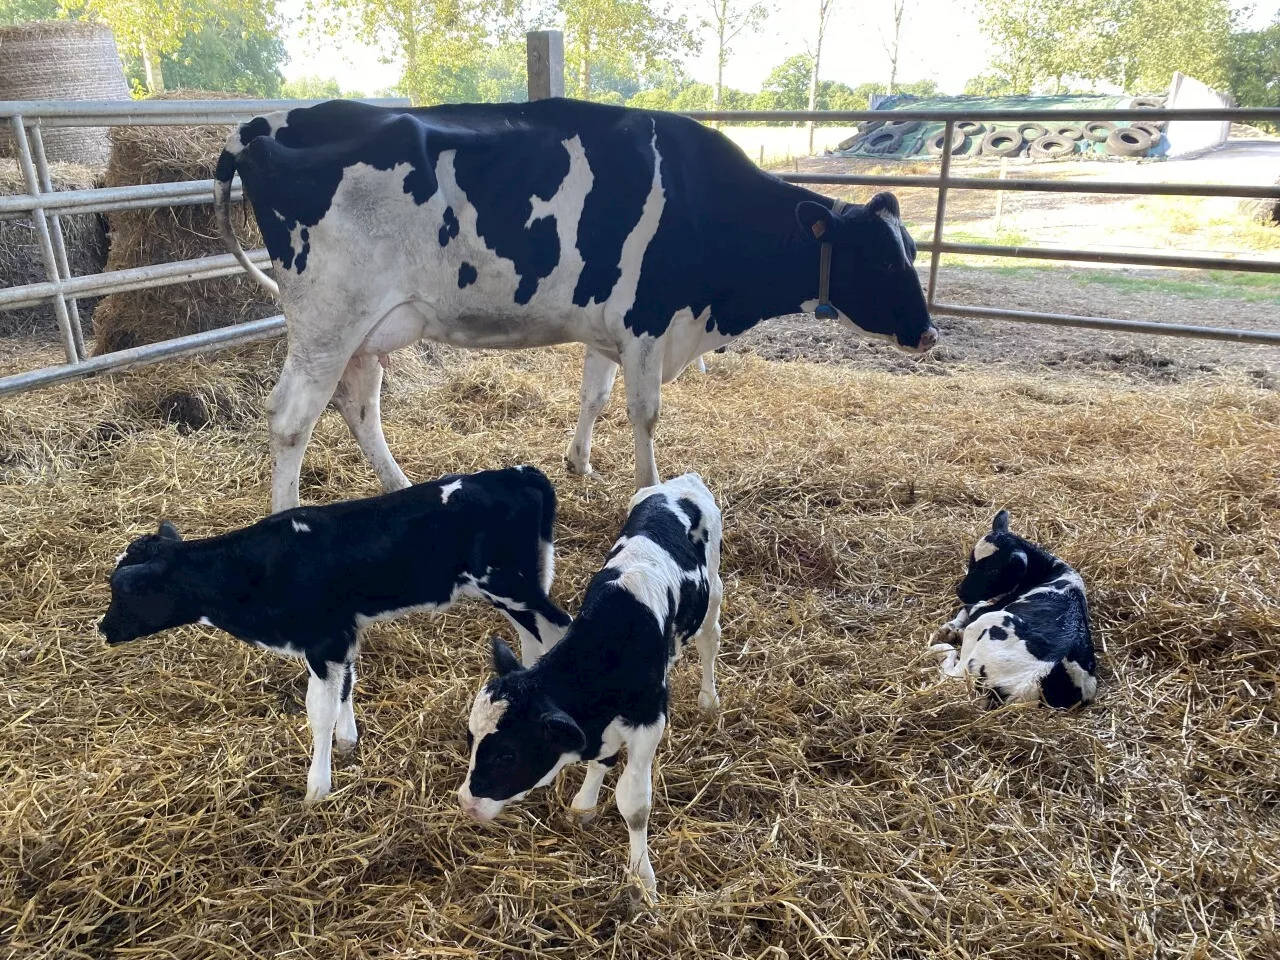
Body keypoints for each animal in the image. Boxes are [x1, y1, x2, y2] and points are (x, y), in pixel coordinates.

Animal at [102, 465, 573, 803]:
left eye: (124, 590)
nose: (102, 629)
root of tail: (519, 472)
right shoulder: (343, 634)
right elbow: (346, 686)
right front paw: (348, 742)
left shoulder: (323, 640)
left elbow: (319, 709)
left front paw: (317, 787)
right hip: (513, 593)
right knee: (533, 639)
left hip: (510, 585)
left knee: (559, 628)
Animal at [217, 100, 942, 514]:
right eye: (882, 261)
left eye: (910, 250)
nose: (930, 333)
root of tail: (261, 125)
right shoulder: (649, 321)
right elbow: (645, 413)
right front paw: (647, 488)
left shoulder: (607, 327)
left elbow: (595, 394)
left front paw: (579, 463)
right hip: (328, 316)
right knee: (291, 419)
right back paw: (285, 517)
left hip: (365, 329)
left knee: (359, 405)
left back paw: (399, 486)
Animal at [458, 473, 721, 901]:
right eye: (471, 740)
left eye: (508, 755)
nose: (466, 803)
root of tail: (681, 481)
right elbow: (601, 759)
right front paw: (584, 803)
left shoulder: (650, 721)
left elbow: (634, 805)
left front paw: (643, 879)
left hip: (713, 587)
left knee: (710, 639)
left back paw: (709, 699)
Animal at [931, 514, 1100, 711]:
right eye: (971, 562)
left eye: (993, 569)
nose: (960, 591)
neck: (1050, 571)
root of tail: (1030, 683)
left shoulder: (988, 609)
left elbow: (969, 608)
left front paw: (951, 628)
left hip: (987, 625)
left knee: (953, 674)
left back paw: (938, 650)